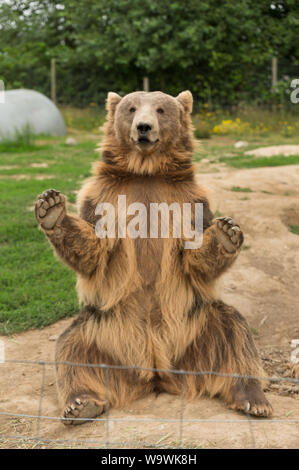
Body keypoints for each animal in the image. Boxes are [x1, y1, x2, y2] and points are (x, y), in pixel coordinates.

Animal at [34, 90, 274, 424]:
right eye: (131, 108)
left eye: (160, 109)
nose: (143, 127)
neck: (146, 171)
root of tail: (156, 368)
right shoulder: (104, 197)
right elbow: (94, 249)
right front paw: (51, 207)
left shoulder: (188, 200)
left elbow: (195, 255)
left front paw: (227, 231)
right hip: (104, 325)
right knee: (72, 348)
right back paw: (81, 403)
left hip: (196, 321)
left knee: (235, 335)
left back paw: (253, 398)